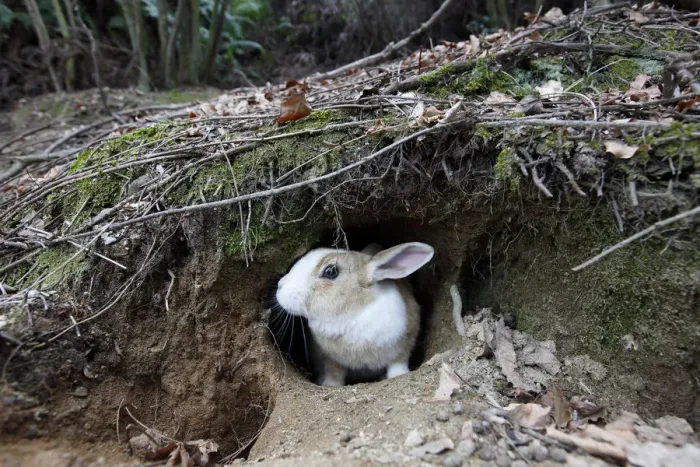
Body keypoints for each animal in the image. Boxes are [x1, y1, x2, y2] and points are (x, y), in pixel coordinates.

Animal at [275, 241, 434, 387]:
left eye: (330, 271)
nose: (280, 285)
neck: (352, 312)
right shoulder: (331, 359)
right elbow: (334, 373)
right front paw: (330, 385)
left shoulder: (406, 341)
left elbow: (398, 362)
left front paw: (398, 374)